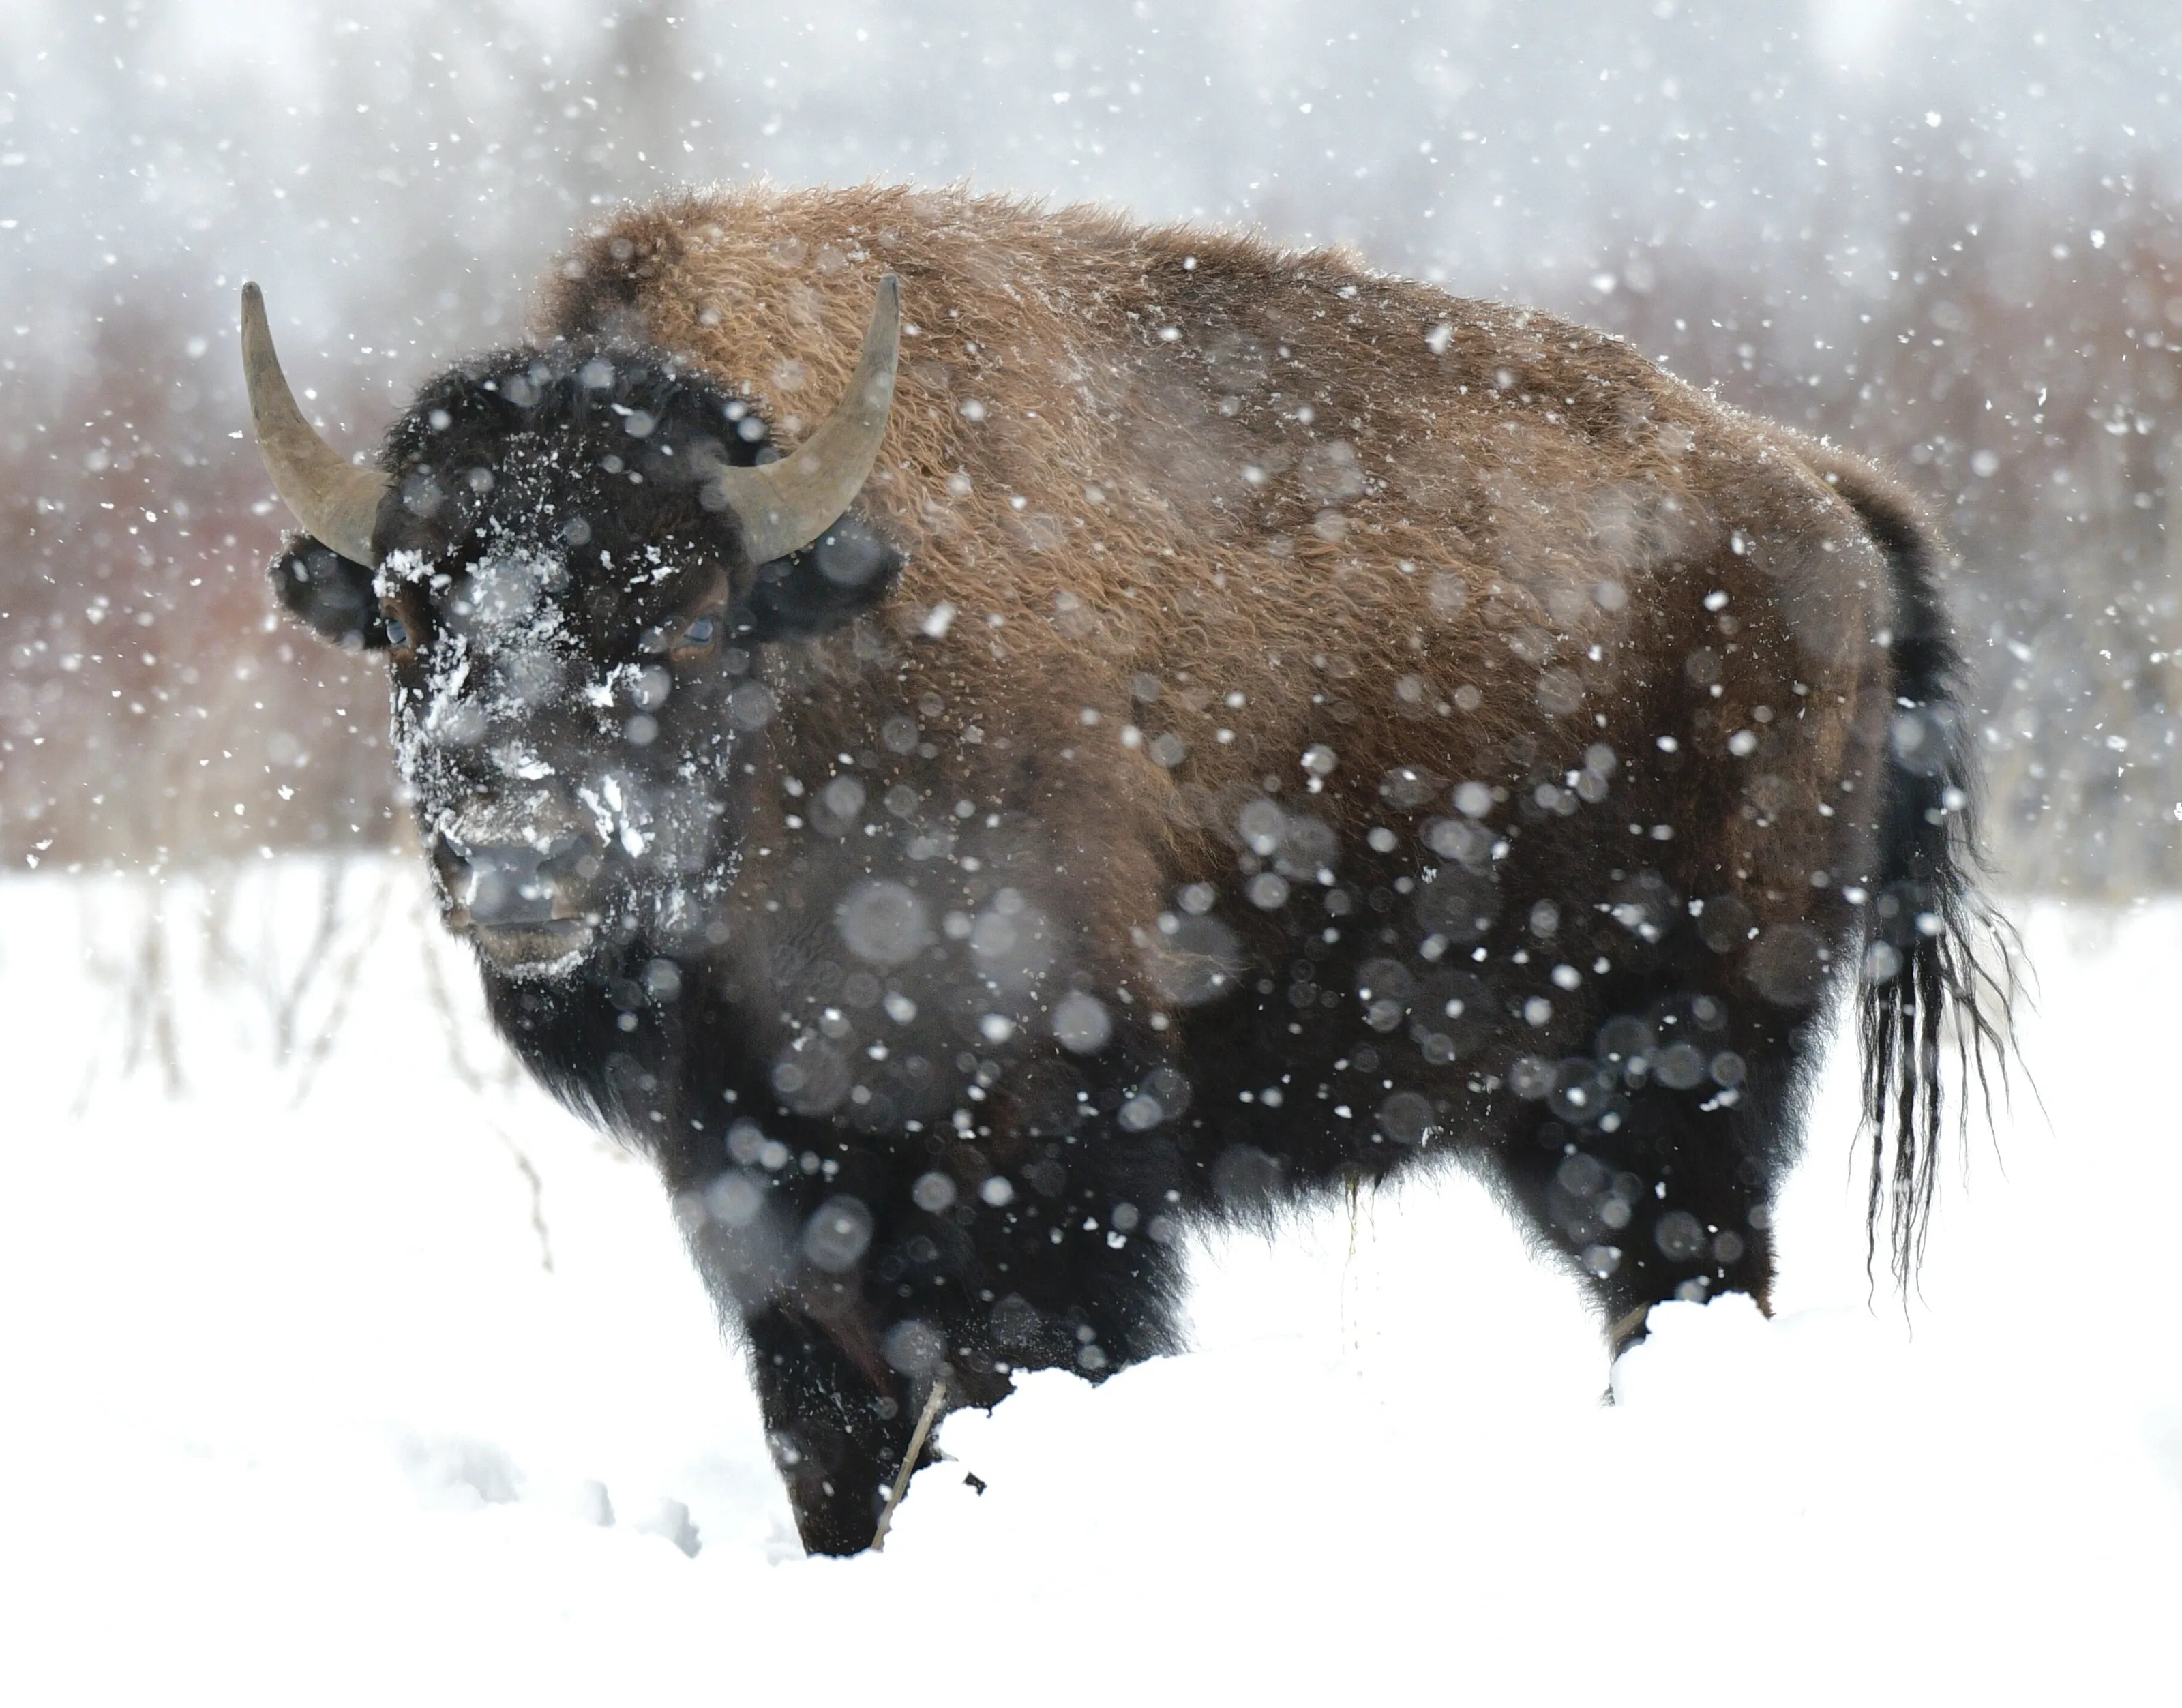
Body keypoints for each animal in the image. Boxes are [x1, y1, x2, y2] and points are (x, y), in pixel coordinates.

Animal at [248, 185, 1999, 1555]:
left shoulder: (1044, 1190)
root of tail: (1819, 495)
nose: (522, 860)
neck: (817, 647)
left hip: (1668, 1078)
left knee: (1687, 1274)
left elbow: (1011, 1390)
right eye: (402, 612)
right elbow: (834, 1454)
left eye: (678, 612)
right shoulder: (764, 1210)